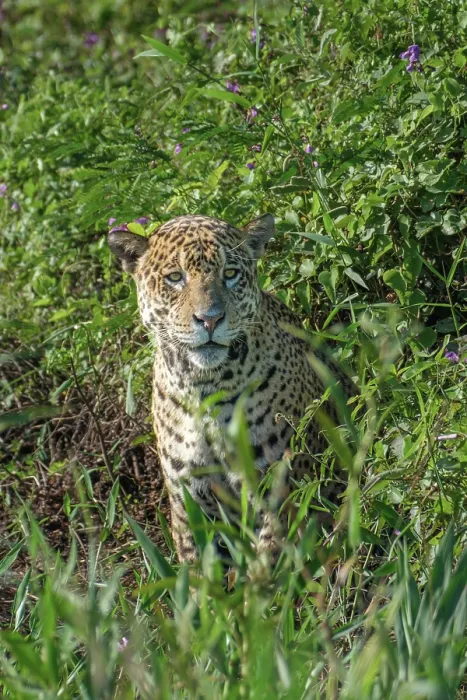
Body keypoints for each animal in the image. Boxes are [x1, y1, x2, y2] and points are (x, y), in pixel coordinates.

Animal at [108, 213, 356, 564]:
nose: (210, 319)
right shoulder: (190, 501)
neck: (204, 387)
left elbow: (271, 562)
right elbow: (199, 570)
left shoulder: (280, 488)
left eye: (230, 274)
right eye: (175, 277)